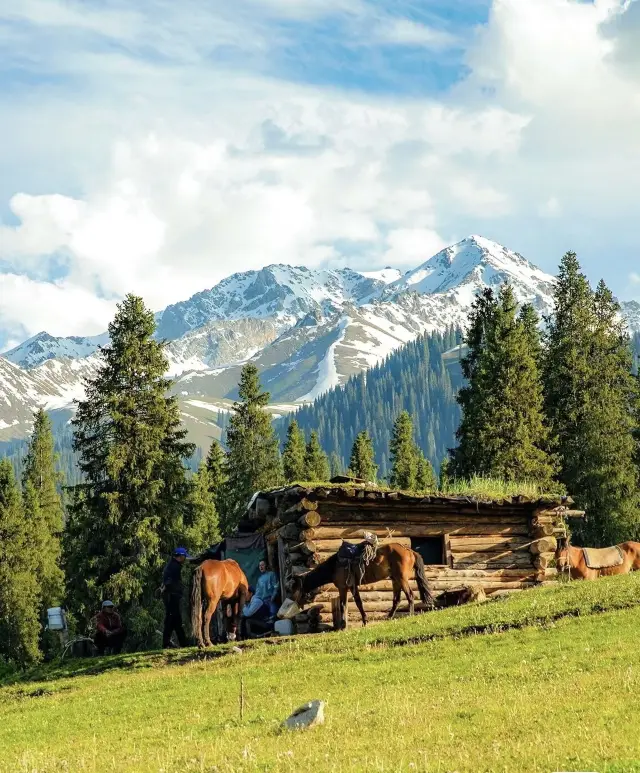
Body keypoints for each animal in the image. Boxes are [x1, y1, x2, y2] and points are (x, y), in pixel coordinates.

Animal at [288, 544, 436, 628]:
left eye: (294, 589)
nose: (292, 601)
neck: (334, 566)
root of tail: (409, 550)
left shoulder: (344, 587)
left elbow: (347, 605)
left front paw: (346, 625)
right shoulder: (351, 587)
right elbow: (355, 603)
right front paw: (362, 622)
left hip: (401, 578)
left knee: (410, 595)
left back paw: (410, 615)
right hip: (395, 579)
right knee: (396, 599)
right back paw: (389, 618)